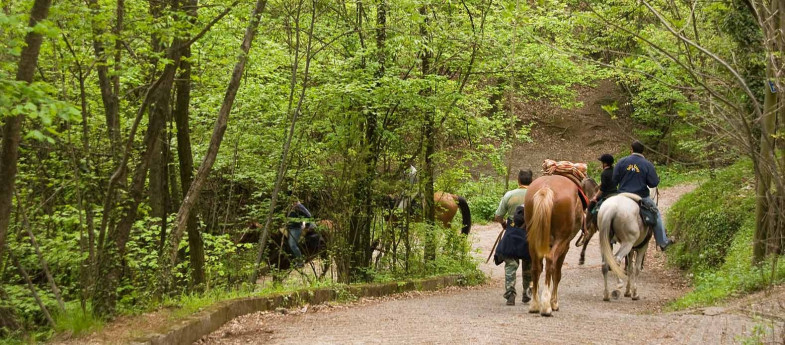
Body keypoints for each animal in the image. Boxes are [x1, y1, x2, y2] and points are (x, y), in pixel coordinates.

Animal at [528, 175, 580, 314]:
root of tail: (546, 188)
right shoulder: (565, 246)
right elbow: (557, 273)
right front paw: (554, 302)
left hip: (532, 239)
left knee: (536, 267)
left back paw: (535, 304)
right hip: (561, 239)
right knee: (550, 261)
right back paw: (546, 306)